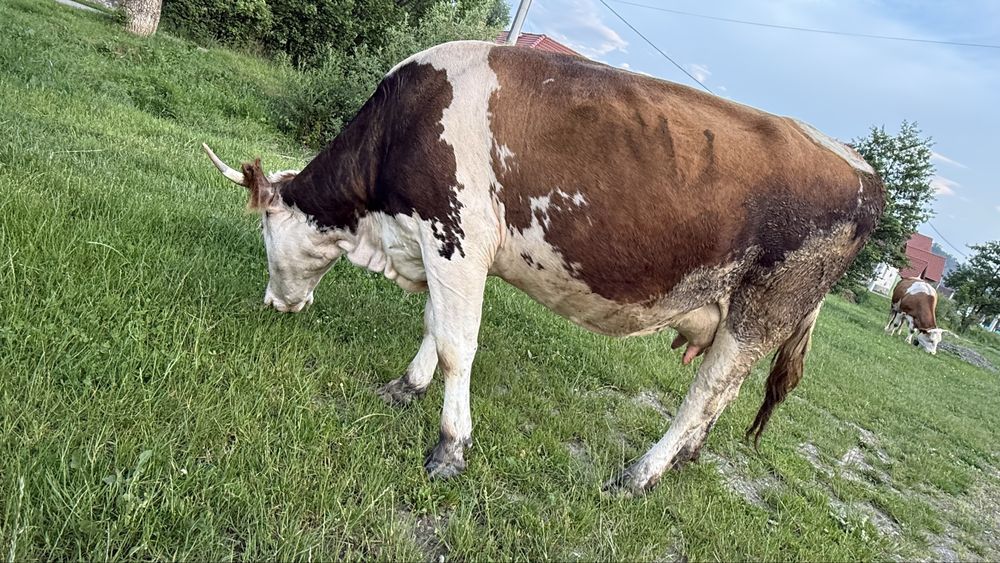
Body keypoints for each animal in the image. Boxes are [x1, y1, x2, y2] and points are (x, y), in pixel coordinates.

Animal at [202, 41, 883, 493]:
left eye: (264, 230)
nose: (273, 302)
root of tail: (860, 165)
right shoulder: (436, 243)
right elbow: (434, 324)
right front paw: (407, 385)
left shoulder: (457, 235)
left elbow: (457, 345)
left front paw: (450, 447)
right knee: (727, 392)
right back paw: (688, 458)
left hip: (762, 309)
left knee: (705, 391)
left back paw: (641, 473)